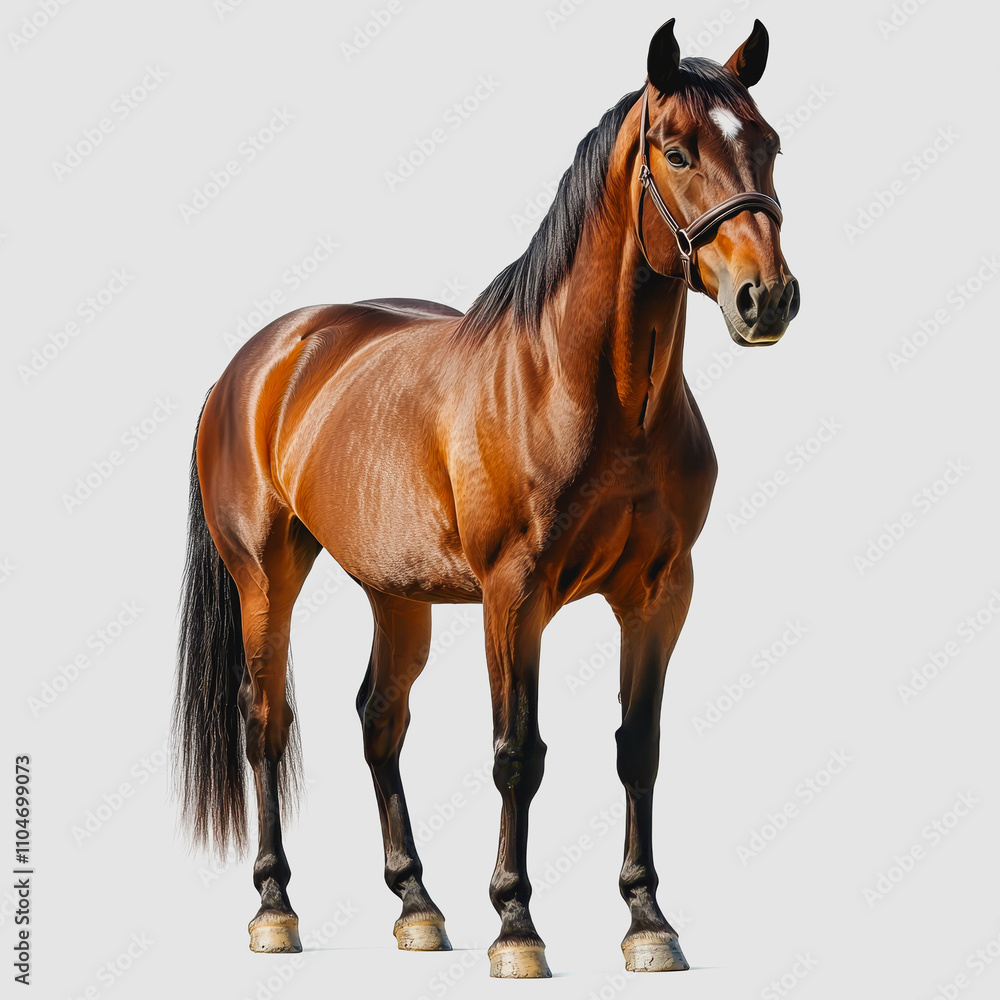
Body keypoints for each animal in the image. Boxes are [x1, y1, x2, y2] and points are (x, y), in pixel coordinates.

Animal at [172, 17, 799, 979]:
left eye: (767, 144)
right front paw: (517, 928)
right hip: (264, 578)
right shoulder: (515, 593)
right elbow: (516, 756)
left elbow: (639, 749)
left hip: (395, 590)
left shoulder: (659, 594)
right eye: (678, 151)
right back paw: (276, 909)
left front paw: (647, 921)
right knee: (267, 722)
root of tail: (259, 360)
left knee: (379, 718)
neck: (588, 389)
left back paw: (417, 907)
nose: (767, 298)